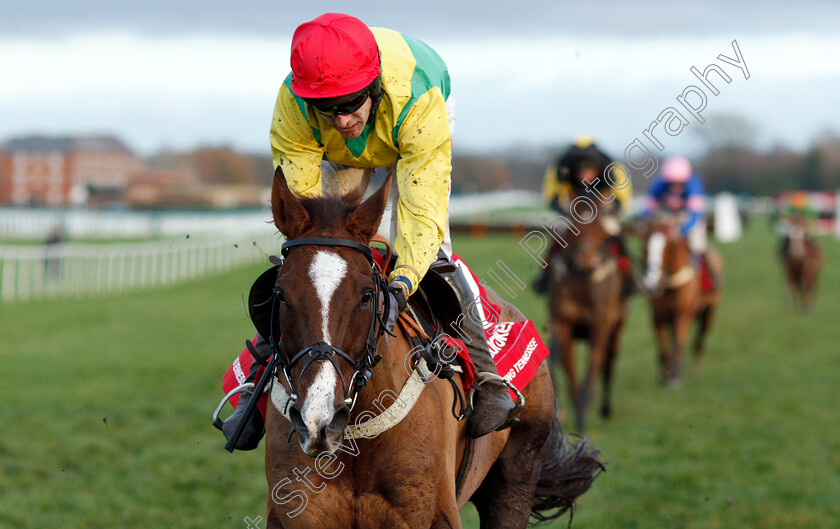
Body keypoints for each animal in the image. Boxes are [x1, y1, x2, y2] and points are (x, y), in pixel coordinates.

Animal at [548, 214, 628, 434]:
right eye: (573, 229)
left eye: (602, 233)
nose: (586, 261)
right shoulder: (562, 323)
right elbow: (564, 363)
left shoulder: (599, 329)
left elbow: (593, 367)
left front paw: (582, 414)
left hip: (616, 329)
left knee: (608, 364)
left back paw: (605, 408)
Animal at [644, 214, 720, 388]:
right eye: (646, 243)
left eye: (669, 246)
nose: (651, 280)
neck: (671, 284)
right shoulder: (657, 315)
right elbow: (663, 347)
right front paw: (664, 376)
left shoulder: (683, 312)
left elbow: (678, 342)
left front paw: (675, 377)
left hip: (709, 313)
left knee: (698, 344)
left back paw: (695, 375)